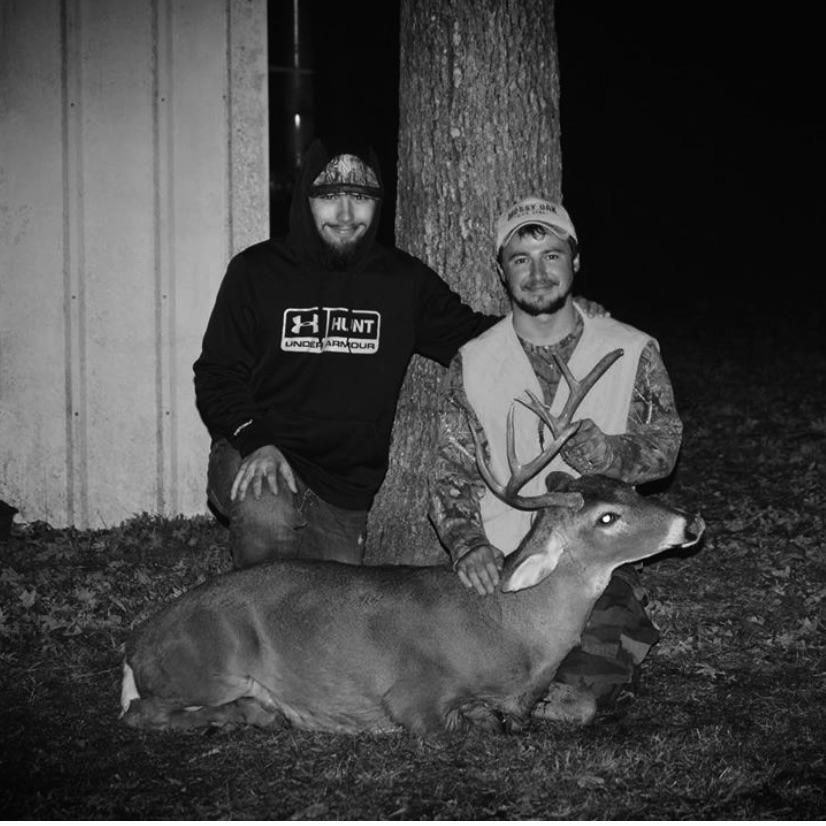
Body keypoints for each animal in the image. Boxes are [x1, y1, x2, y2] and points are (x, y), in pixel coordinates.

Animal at [120, 349, 704, 735]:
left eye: (631, 489)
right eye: (607, 518)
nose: (691, 523)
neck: (510, 629)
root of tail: (136, 645)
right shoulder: (411, 694)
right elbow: (457, 727)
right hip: (209, 666)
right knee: (141, 712)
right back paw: (254, 711)